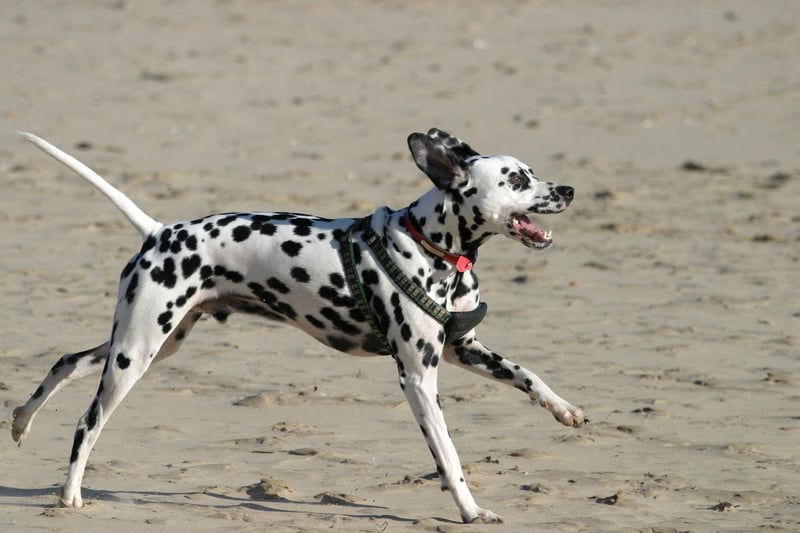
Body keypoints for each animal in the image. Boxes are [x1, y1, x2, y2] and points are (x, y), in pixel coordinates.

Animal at [12, 130, 584, 524]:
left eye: (532, 172)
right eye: (516, 180)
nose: (569, 189)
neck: (429, 244)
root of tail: (159, 233)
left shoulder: (463, 349)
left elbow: (527, 374)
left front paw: (564, 409)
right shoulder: (419, 379)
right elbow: (448, 454)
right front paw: (470, 510)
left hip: (151, 343)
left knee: (66, 361)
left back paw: (20, 420)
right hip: (136, 353)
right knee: (88, 422)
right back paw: (69, 495)